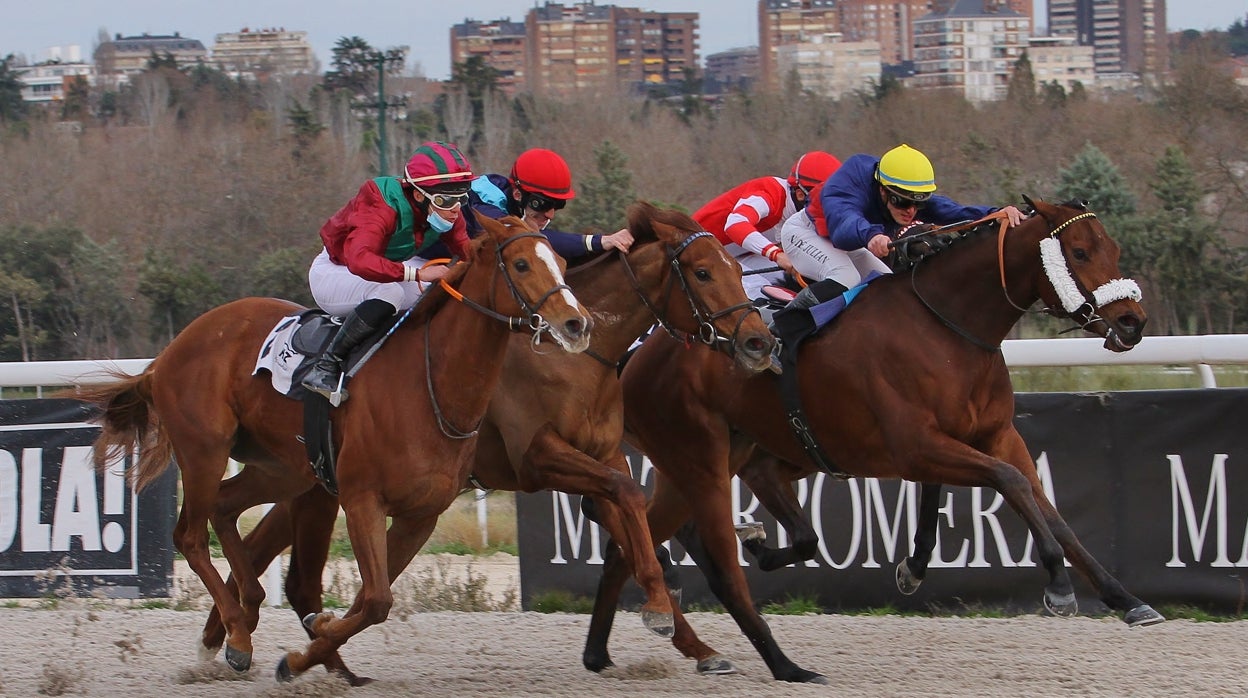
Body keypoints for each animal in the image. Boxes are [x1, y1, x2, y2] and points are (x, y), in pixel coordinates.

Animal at [74, 214, 594, 684]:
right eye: (522, 264)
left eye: (563, 262)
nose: (577, 323)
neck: (430, 384)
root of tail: (167, 354)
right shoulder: (362, 498)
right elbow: (378, 599)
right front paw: (309, 646)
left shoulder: (420, 515)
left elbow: (369, 599)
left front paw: (312, 644)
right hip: (205, 449)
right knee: (190, 535)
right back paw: (238, 634)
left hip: (284, 468)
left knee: (224, 507)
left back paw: (248, 612)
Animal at [185, 199, 773, 684]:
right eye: (703, 272)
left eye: (737, 268)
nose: (758, 341)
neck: (573, 360)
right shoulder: (539, 457)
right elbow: (627, 507)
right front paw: (664, 614)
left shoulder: (602, 458)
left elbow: (632, 522)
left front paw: (684, 631)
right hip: (315, 480)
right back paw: (234, 636)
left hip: (308, 479)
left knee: (254, 538)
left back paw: (232, 636)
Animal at [584, 198, 1158, 684]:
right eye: (1079, 252)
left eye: (1112, 249)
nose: (1132, 322)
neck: (947, 327)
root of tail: (642, 353)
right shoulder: (917, 446)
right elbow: (1011, 484)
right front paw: (1058, 586)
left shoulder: (995, 436)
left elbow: (1048, 509)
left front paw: (1126, 599)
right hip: (698, 461)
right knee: (704, 556)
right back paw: (775, 656)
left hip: (713, 462)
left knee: (628, 541)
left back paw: (602, 651)